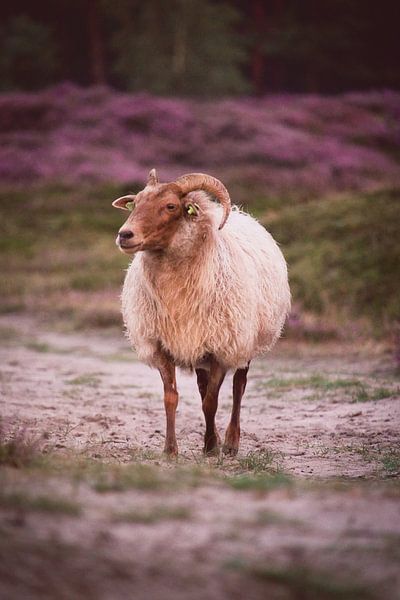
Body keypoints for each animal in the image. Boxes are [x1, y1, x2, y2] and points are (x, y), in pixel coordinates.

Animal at [112, 168, 290, 454]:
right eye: (136, 202)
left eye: (171, 206)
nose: (124, 235)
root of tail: (242, 215)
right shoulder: (162, 345)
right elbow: (171, 398)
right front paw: (170, 450)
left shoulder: (221, 348)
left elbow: (211, 402)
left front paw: (211, 448)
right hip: (198, 347)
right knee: (202, 386)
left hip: (245, 342)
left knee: (238, 387)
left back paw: (230, 442)